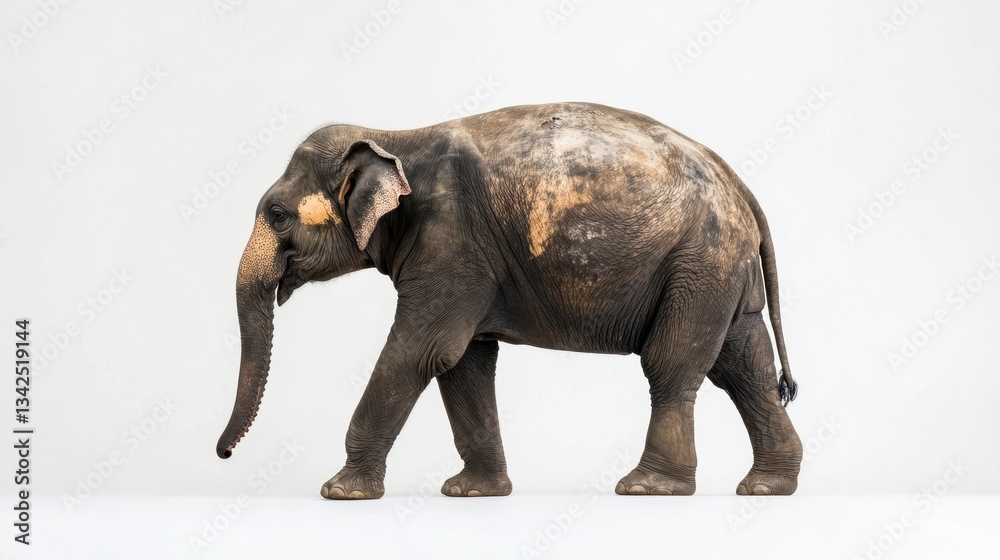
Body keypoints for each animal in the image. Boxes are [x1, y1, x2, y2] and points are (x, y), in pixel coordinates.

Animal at [216, 102, 802, 499]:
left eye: (276, 215)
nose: (223, 453)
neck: (392, 136)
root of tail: (738, 183)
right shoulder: (466, 260)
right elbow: (461, 361)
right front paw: (472, 492)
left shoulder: (452, 240)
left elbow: (420, 350)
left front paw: (339, 492)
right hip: (722, 271)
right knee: (743, 364)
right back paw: (767, 487)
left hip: (698, 262)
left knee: (673, 366)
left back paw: (647, 487)